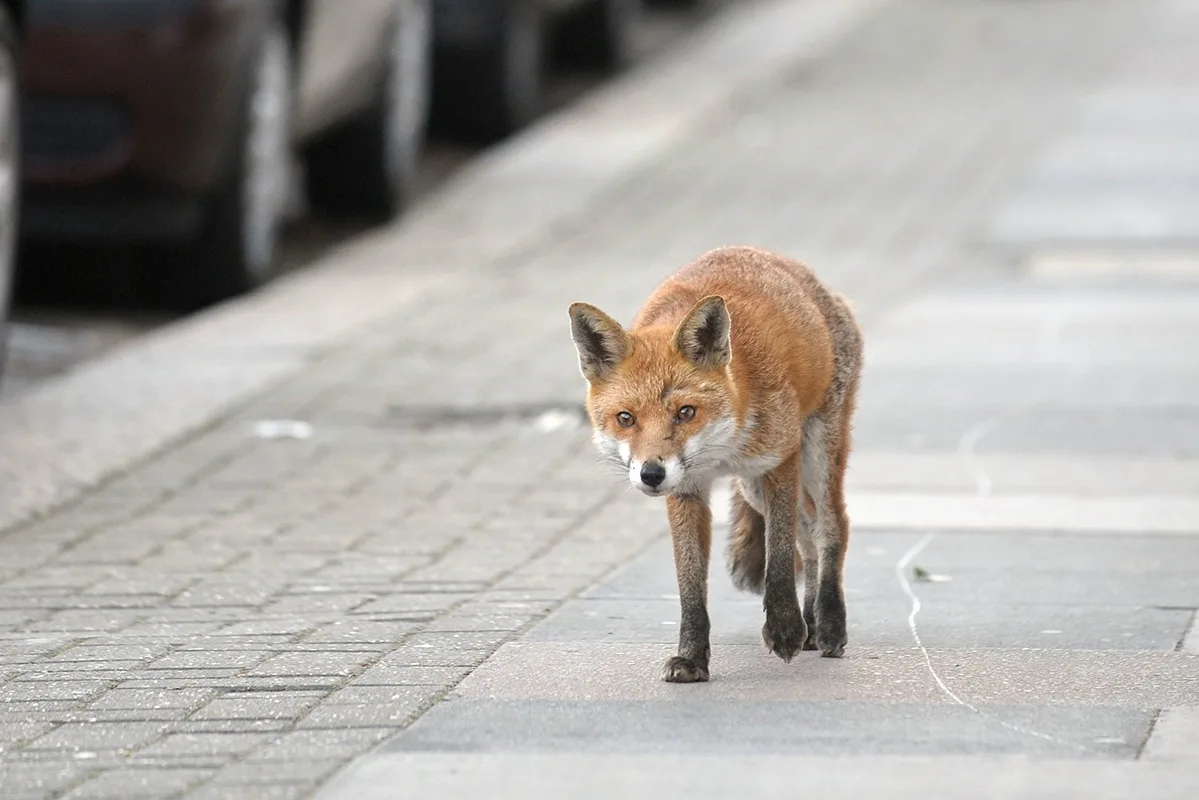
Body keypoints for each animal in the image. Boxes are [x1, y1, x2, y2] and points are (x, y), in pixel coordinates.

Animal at [568, 245, 863, 683]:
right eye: (626, 418)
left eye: (685, 412)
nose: (651, 475)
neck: (722, 448)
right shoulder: (686, 491)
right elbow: (690, 586)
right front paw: (691, 658)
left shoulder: (780, 460)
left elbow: (777, 560)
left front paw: (784, 629)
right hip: (754, 490)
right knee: (808, 539)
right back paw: (811, 622)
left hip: (815, 453)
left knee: (830, 528)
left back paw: (828, 624)